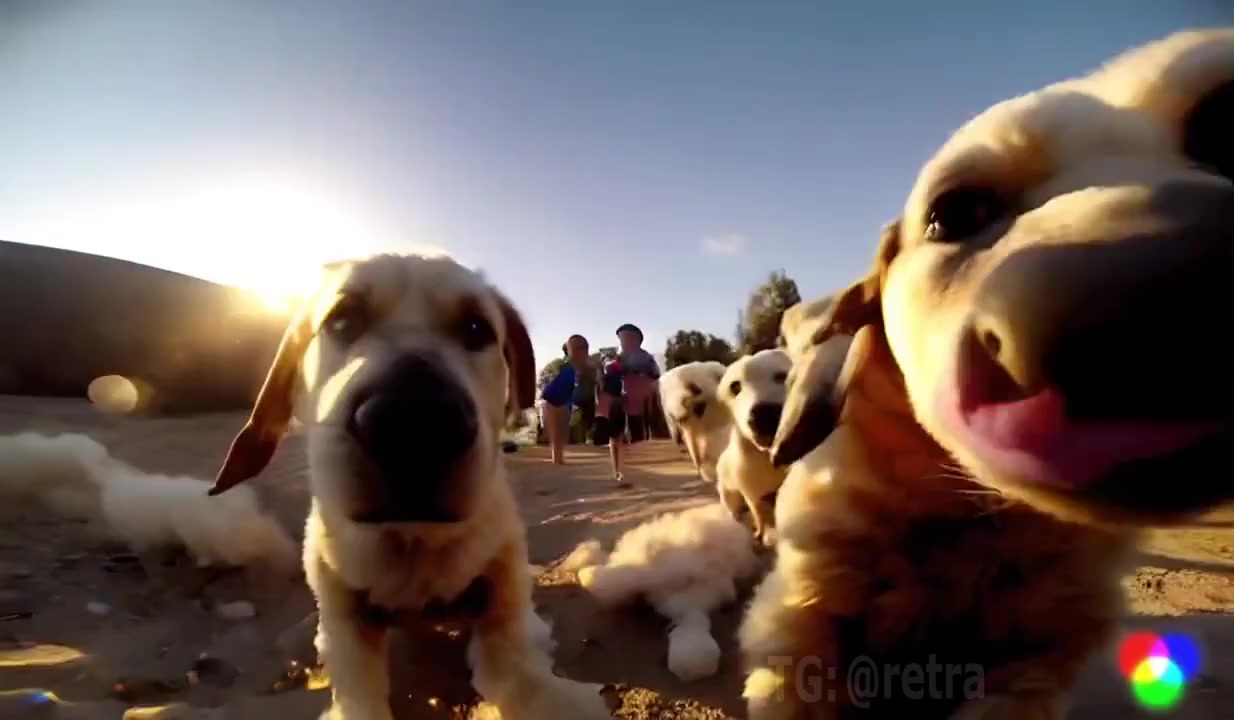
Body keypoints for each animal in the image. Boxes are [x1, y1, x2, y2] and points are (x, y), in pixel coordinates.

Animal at [207, 249, 612, 720]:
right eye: (343, 321)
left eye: (476, 328)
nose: (413, 420)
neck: (413, 544)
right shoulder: (344, 615)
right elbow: (357, 691)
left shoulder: (503, 580)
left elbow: (509, 663)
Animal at [715, 348, 789, 545]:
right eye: (735, 386)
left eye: (782, 375)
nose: (764, 415)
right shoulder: (752, 496)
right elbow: (759, 518)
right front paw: (760, 536)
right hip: (729, 495)